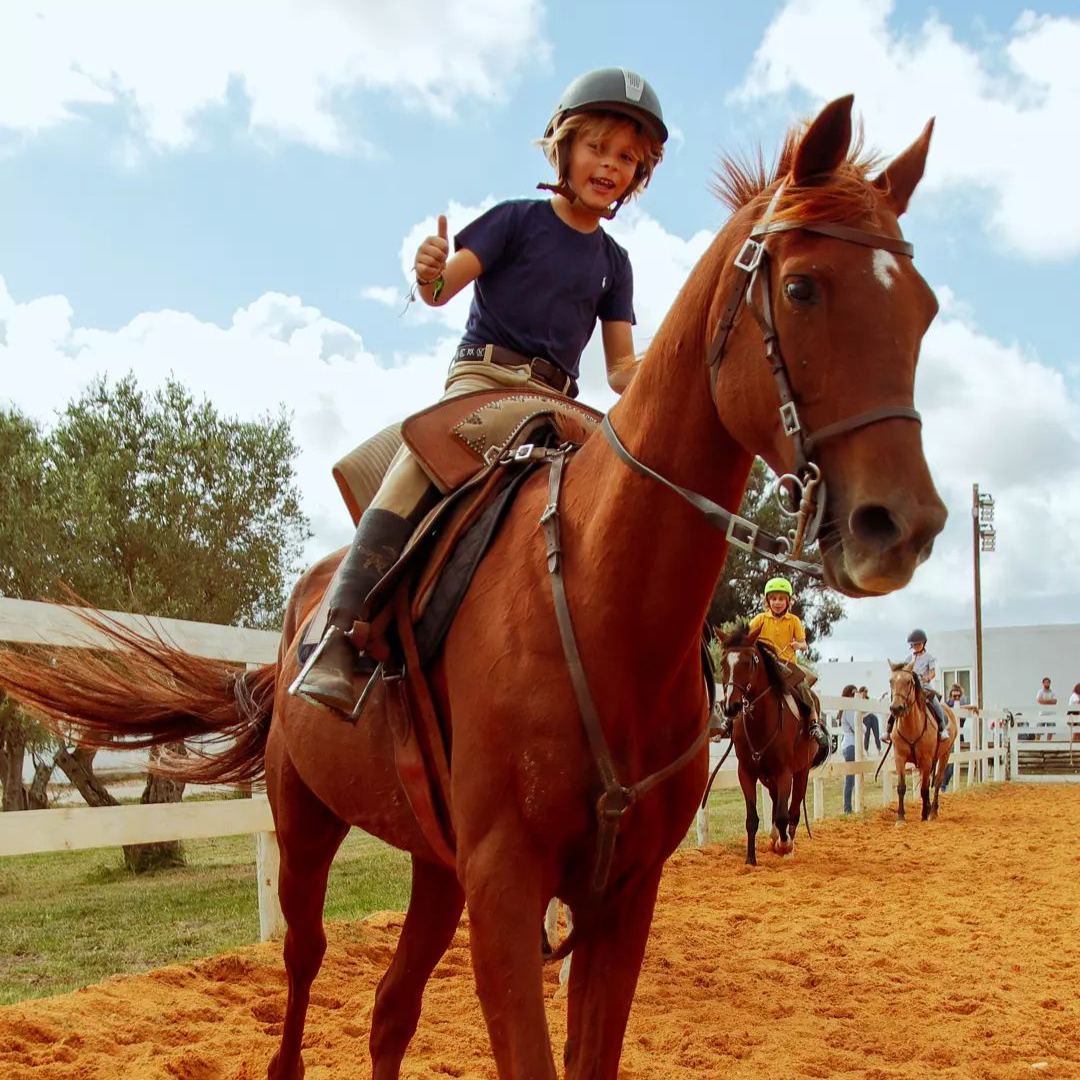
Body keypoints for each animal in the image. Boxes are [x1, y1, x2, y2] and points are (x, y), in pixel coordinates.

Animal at [717, 630, 816, 864]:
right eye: (723, 662)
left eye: (751, 661)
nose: (731, 706)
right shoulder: (746, 772)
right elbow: (752, 819)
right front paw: (750, 860)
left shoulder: (784, 772)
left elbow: (783, 816)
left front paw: (785, 845)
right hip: (768, 777)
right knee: (776, 802)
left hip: (802, 772)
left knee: (793, 810)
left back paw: (788, 846)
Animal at [889, 656, 959, 825]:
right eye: (891, 681)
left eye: (909, 681)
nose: (896, 708)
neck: (912, 727)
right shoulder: (900, 758)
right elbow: (902, 787)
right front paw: (900, 818)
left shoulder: (927, 760)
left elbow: (925, 789)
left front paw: (924, 815)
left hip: (945, 755)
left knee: (938, 781)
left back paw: (932, 811)